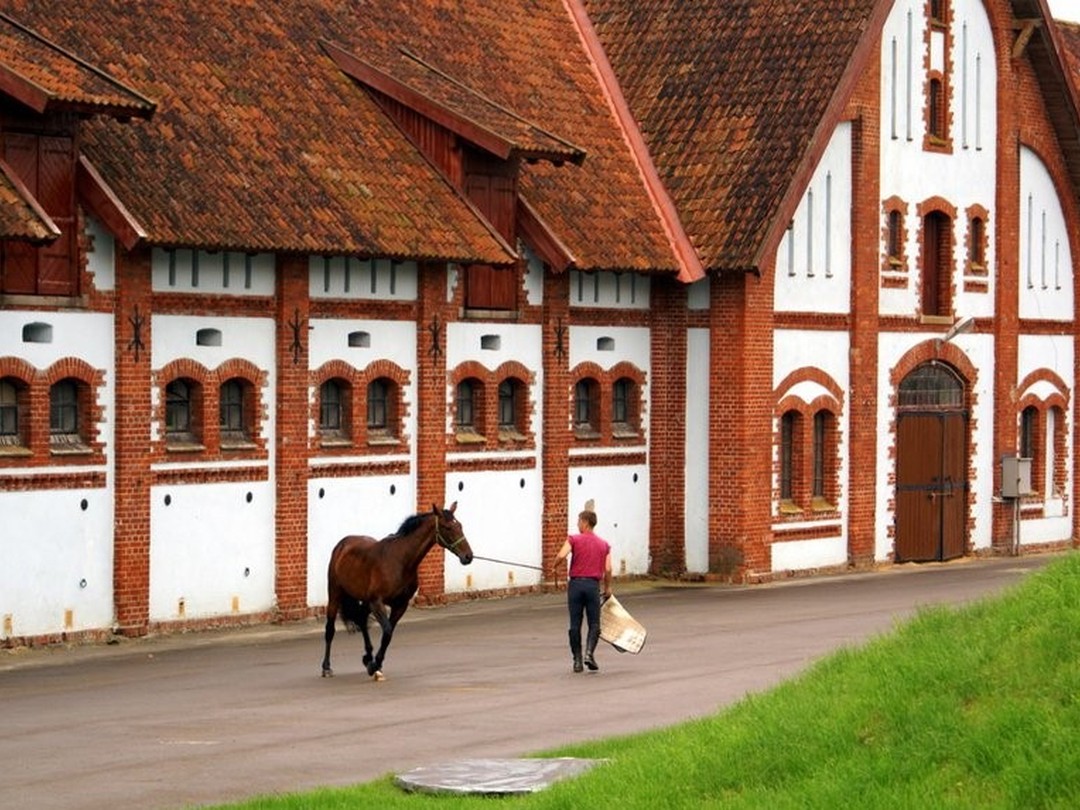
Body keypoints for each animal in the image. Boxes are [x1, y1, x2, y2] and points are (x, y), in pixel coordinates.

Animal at [319, 505, 473, 682]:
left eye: (460, 525)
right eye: (447, 527)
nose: (468, 556)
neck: (401, 561)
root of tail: (342, 544)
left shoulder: (400, 605)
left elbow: (389, 634)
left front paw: (375, 665)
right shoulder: (377, 602)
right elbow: (387, 632)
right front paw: (375, 666)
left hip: (364, 601)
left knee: (362, 622)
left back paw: (368, 657)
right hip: (335, 593)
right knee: (330, 629)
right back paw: (327, 667)